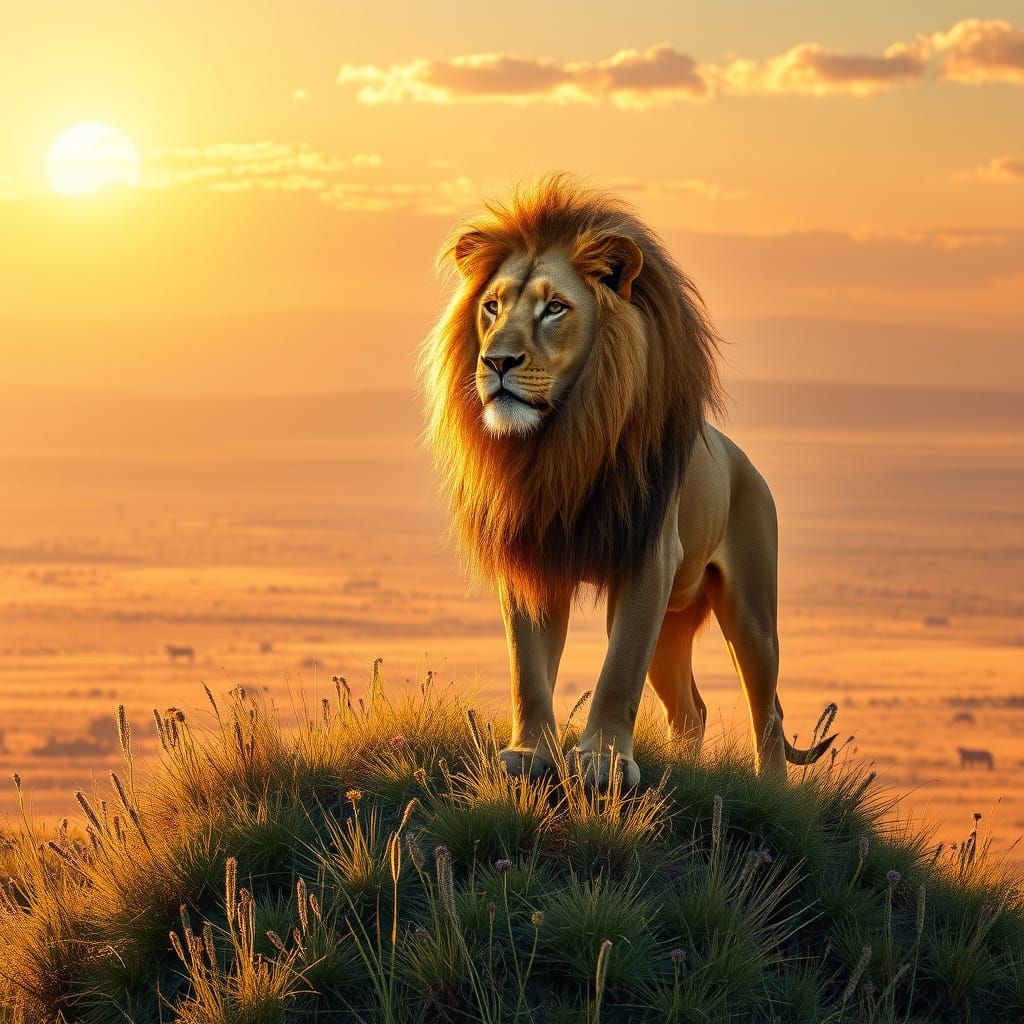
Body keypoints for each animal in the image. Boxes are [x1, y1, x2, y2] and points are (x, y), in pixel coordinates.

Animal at [421, 174, 836, 787]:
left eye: (555, 308)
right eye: (491, 307)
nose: (496, 362)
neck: (560, 443)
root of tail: (747, 463)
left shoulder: (649, 557)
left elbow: (618, 672)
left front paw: (603, 762)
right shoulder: (533, 555)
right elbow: (528, 667)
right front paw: (530, 754)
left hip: (752, 611)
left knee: (768, 711)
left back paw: (774, 792)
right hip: (673, 624)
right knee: (691, 709)